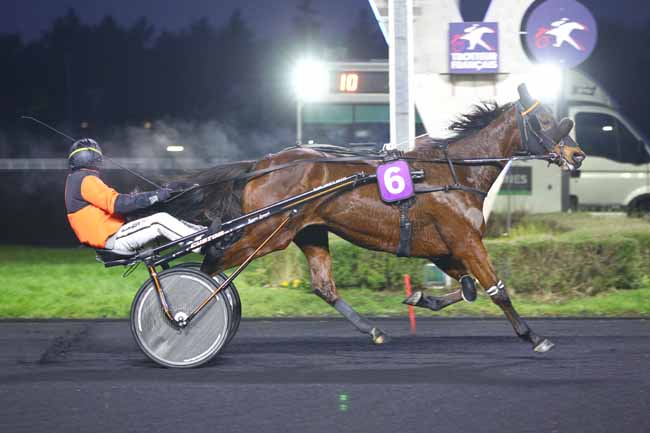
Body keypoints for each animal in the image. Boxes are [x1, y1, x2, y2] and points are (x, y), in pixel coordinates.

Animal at [159, 86, 584, 352]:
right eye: (546, 121)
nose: (577, 155)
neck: (455, 172)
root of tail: (261, 165)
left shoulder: (445, 246)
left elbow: (468, 288)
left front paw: (420, 297)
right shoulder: (466, 241)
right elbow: (496, 289)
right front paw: (533, 336)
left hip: (308, 232)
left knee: (323, 286)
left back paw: (375, 331)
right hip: (268, 232)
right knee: (212, 261)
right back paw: (184, 314)